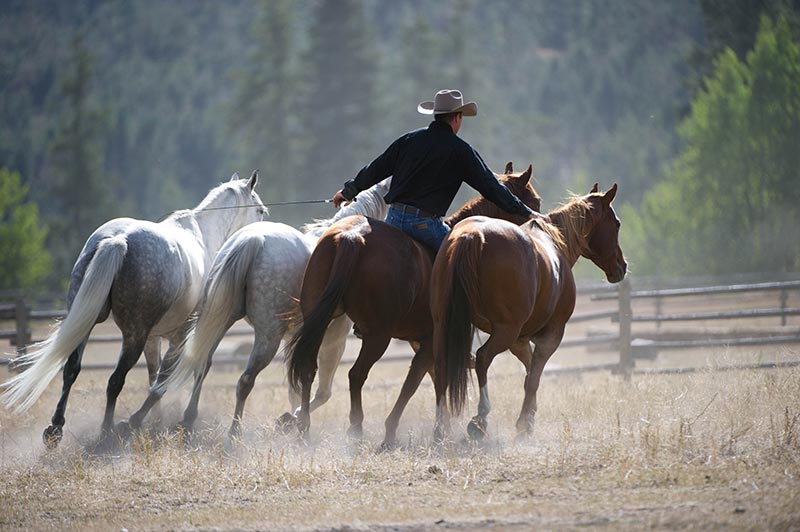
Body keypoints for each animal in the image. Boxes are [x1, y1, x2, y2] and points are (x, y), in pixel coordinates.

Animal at [1, 172, 268, 446]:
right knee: (115, 380)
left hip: (87, 324)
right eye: (260, 210)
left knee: (71, 369)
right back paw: (106, 432)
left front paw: (154, 422)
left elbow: (153, 376)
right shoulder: (180, 336)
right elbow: (164, 380)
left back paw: (56, 429)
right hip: (133, 337)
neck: (203, 234)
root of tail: (119, 240)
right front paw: (148, 422)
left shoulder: (154, 338)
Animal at [121, 179, 390, 436]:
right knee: (245, 380)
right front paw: (293, 420)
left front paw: (292, 418)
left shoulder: (295, 340)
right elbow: (321, 391)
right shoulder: (333, 340)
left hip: (219, 320)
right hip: (268, 337)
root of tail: (252, 240)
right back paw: (234, 431)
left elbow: (296, 386)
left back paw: (168, 418)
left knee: (201, 363)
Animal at [284, 163, 540, 448]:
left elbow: (429, 378)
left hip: (319, 321)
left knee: (309, 367)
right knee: (356, 375)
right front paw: (397, 430)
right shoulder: (429, 341)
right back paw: (355, 428)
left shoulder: (422, 342)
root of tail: (351, 237)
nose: (537, 224)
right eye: (534, 200)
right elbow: (415, 382)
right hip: (378, 336)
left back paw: (303, 426)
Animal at [432, 183, 624, 440]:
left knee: (442, 365)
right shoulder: (550, 336)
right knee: (482, 358)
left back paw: (441, 424)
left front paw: (530, 414)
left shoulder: (519, 340)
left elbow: (529, 370)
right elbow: (534, 376)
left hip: (446, 326)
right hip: (505, 332)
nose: (622, 266)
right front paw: (525, 422)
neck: (557, 242)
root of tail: (472, 236)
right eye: (617, 224)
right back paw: (480, 418)